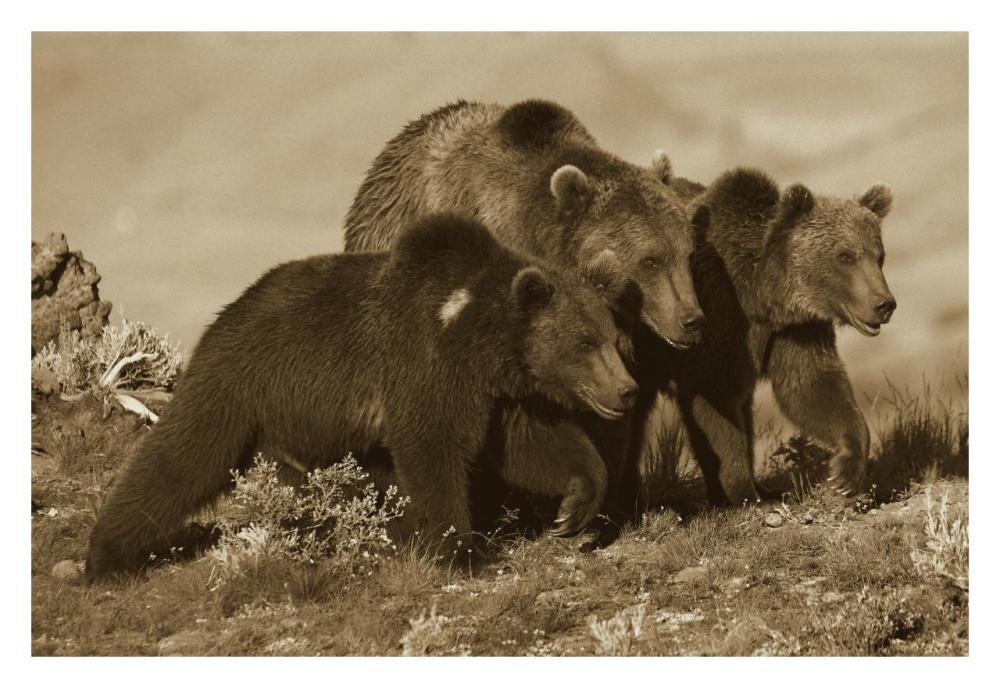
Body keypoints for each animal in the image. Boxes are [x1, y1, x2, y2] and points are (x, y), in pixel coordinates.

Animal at [85, 213, 637, 579]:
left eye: (612, 336)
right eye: (584, 342)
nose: (626, 390)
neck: (479, 337)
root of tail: (224, 314)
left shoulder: (499, 393)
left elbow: (532, 446)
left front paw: (575, 507)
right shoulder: (425, 364)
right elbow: (433, 449)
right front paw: (463, 551)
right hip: (243, 386)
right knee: (185, 455)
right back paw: (106, 555)